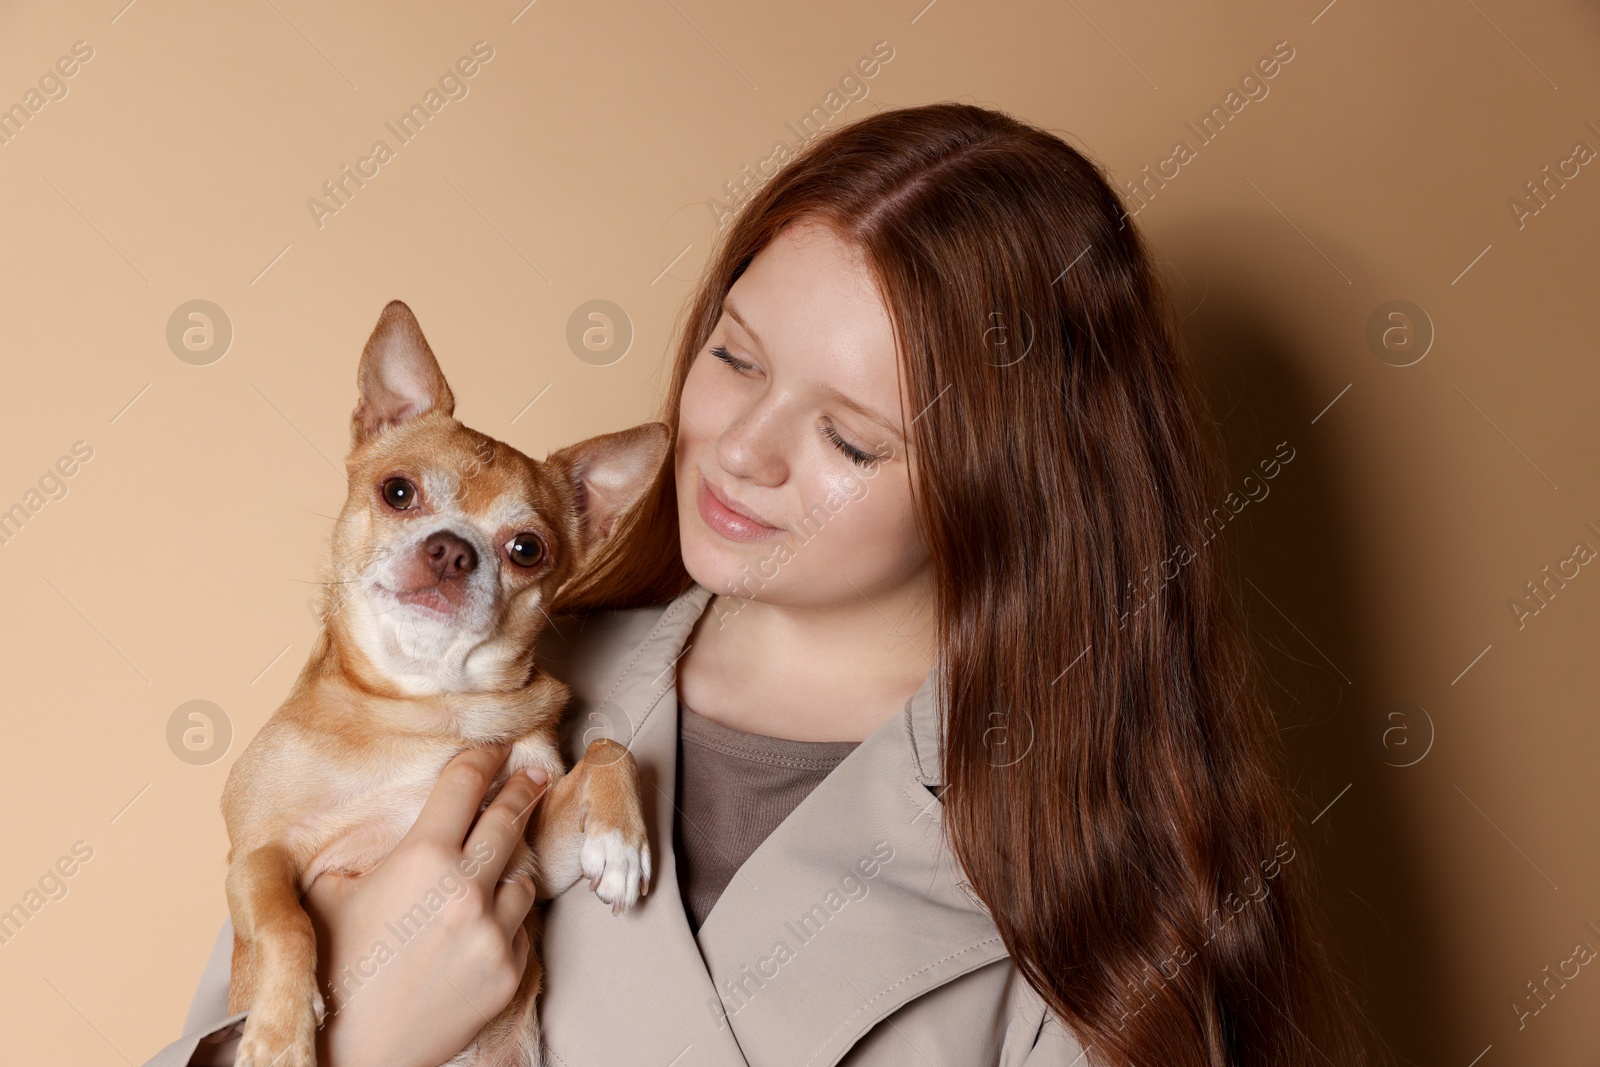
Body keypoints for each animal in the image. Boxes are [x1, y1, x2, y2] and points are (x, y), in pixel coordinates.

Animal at [219, 302, 662, 1067]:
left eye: (527, 549)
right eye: (398, 491)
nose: (453, 549)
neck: (429, 704)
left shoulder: (530, 858)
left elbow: (612, 749)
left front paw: (620, 842)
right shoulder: (255, 854)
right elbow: (285, 923)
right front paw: (279, 1031)